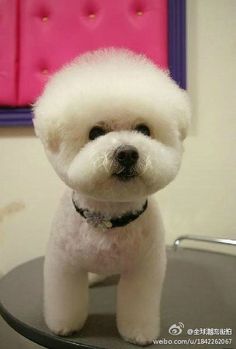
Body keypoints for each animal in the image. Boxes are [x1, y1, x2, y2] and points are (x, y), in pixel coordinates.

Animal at [33, 49, 191, 346]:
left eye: (144, 130)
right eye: (96, 132)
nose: (127, 153)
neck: (108, 215)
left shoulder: (143, 271)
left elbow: (138, 306)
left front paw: (138, 333)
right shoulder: (65, 266)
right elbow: (66, 301)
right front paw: (64, 325)